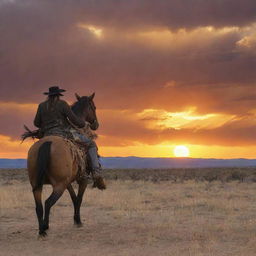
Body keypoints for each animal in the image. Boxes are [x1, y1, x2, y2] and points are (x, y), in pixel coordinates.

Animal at [27, 92, 99, 236]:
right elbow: (79, 198)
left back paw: (41, 230)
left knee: (39, 206)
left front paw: (76, 220)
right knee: (48, 202)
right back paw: (44, 227)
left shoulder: (67, 181)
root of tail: (47, 143)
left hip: (37, 185)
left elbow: (73, 197)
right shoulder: (82, 180)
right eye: (93, 107)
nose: (96, 124)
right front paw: (78, 221)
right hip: (59, 185)